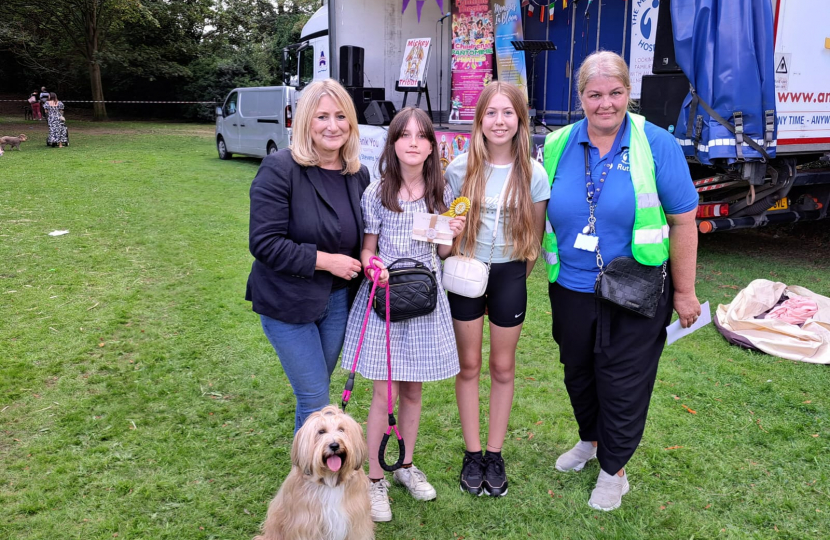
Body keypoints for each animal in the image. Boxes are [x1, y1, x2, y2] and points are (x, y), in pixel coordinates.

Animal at [252, 404, 372, 540]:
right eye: (321, 431)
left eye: (341, 430)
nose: (334, 445)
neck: (329, 481)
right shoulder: (306, 525)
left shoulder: (356, 521)